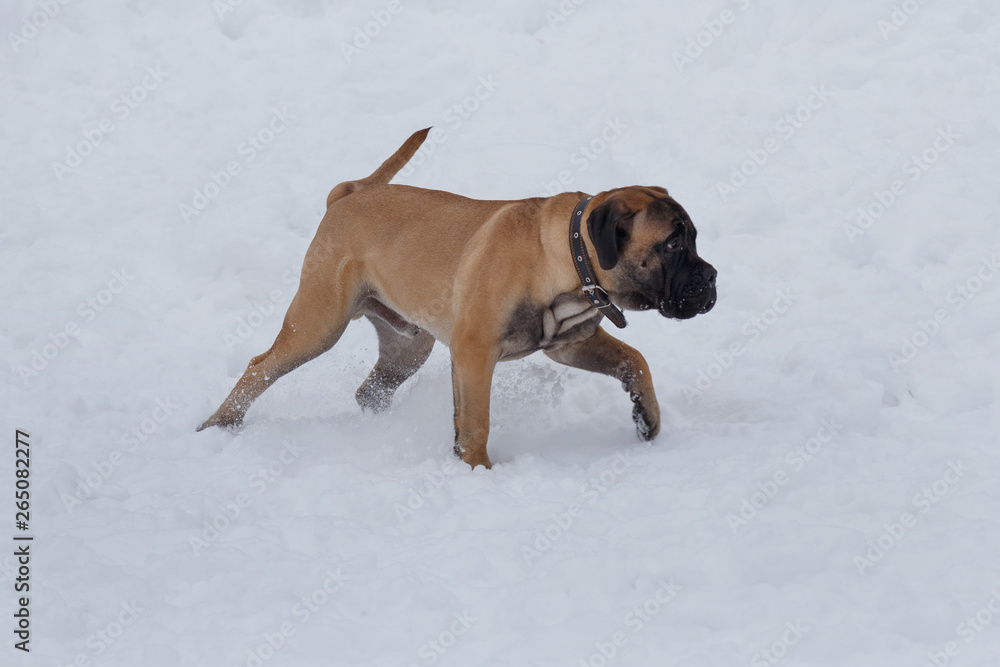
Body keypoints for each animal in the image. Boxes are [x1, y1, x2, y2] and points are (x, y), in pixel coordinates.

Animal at [199, 128, 720, 468]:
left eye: (692, 237)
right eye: (672, 244)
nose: (712, 278)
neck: (568, 260)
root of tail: (347, 194)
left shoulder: (571, 344)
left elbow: (635, 360)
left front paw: (647, 418)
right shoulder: (473, 353)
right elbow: (475, 424)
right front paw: (477, 473)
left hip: (407, 347)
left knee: (369, 391)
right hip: (317, 324)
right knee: (259, 368)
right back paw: (218, 427)